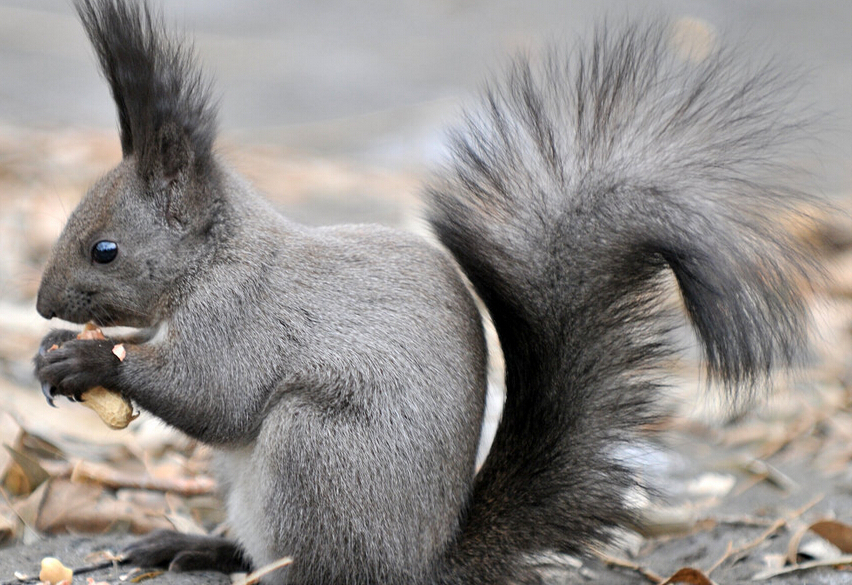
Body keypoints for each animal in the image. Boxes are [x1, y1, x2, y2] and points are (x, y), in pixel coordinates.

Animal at [31, 1, 820, 584]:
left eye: (105, 250)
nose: (40, 305)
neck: (217, 260)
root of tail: (423, 565)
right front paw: (52, 353)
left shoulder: (242, 319)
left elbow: (212, 396)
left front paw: (87, 362)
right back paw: (199, 547)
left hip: (316, 453)